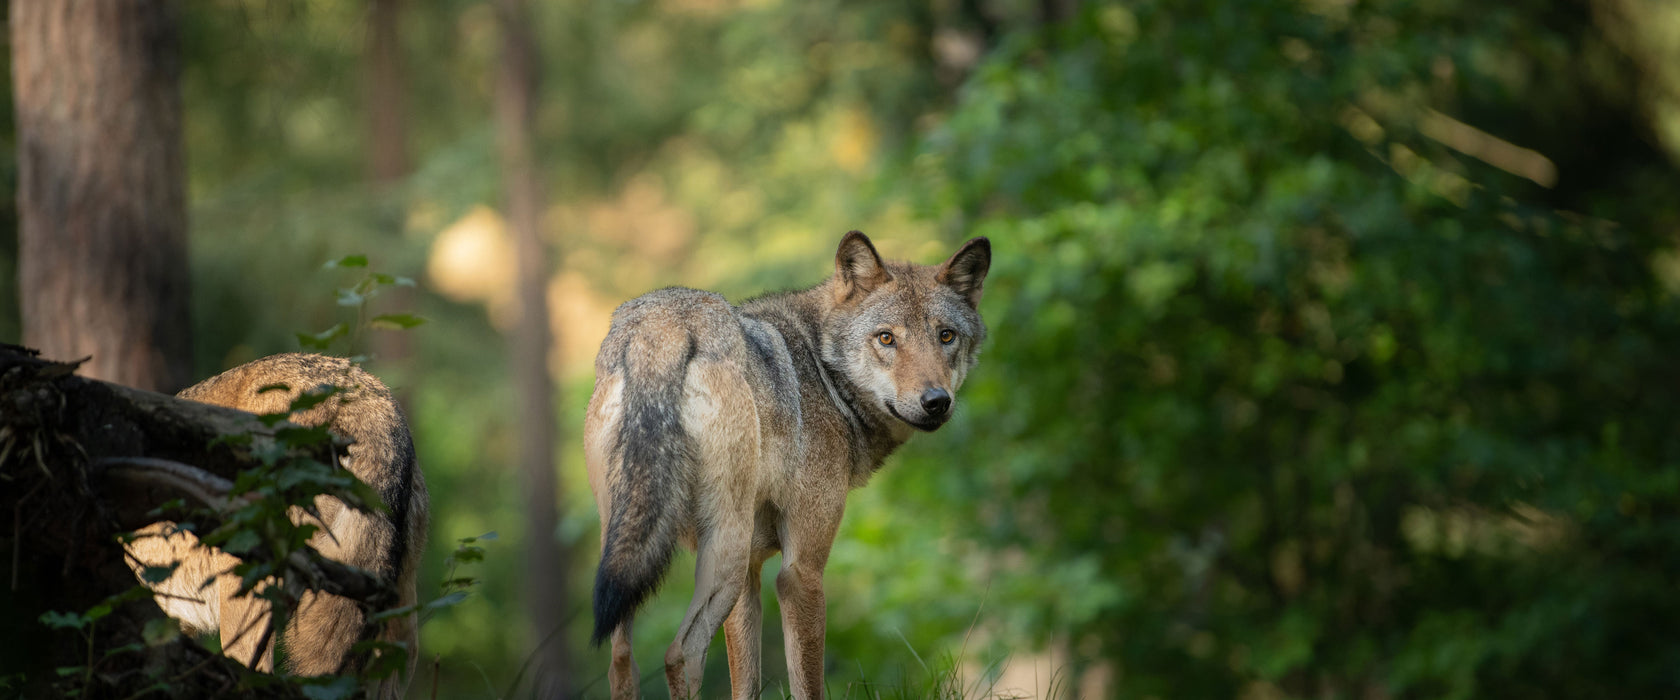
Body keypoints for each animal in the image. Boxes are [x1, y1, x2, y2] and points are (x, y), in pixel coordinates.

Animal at [588, 233, 987, 698]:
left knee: (621, 661)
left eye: (946, 336)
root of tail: (662, 326)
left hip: (631, 559)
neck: (824, 373)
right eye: (887, 338)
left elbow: (746, 684)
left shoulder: (751, 576)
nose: (936, 401)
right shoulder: (800, 573)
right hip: (724, 554)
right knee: (679, 654)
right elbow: (806, 684)